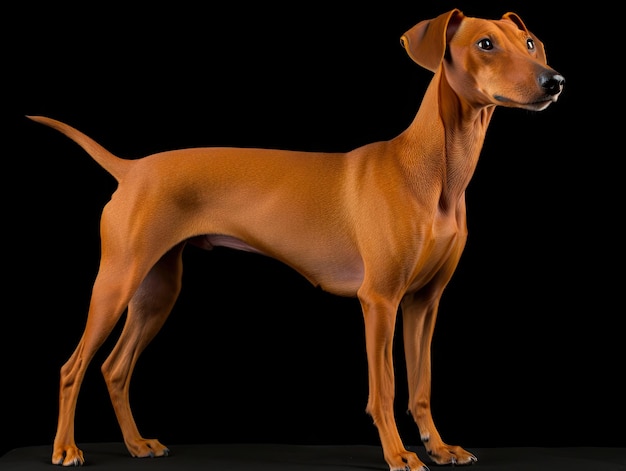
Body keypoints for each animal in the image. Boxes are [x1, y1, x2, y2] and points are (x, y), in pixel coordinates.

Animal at [28, 8, 560, 471]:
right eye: (485, 45)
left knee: (115, 368)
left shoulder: (423, 303)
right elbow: (385, 388)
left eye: (531, 43)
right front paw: (399, 455)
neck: (435, 173)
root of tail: (132, 168)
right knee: (74, 367)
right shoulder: (379, 300)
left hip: (157, 291)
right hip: (116, 283)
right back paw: (66, 449)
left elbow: (421, 387)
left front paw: (439, 447)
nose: (553, 81)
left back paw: (137, 445)